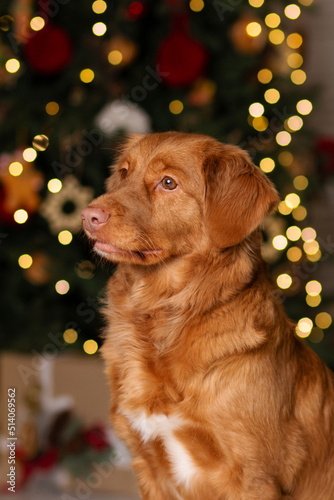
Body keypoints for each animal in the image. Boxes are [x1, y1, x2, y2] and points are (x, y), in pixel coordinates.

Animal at [81, 133, 334, 500]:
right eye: (124, 173)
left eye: (168, 183)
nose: (89, 216)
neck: (164, 317)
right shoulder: (149, 467)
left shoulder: (255, 478)